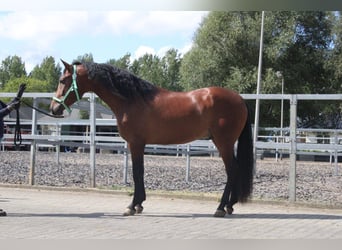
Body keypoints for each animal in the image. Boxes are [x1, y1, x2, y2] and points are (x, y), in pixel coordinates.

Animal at [50, 60, 254, 217]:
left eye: (62, 80)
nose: (54, 108)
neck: (132, 100)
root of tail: (239, 99)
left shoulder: (136, 143)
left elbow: (137, 173)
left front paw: (132, 206)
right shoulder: (138, 144)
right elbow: (139, 172)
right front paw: (139, 205)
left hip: (223, 143)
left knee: (232, 170)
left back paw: (220, 208)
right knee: (235, 170)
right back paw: (229, 206)